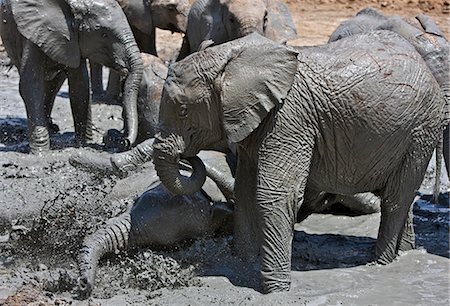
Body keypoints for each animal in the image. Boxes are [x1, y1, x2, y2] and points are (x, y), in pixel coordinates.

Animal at [0, 0, 143, 153]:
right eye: (104, 35)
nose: (124, 140)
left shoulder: (73, 41)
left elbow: (80, 85)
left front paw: (81, 145)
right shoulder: (35, 32)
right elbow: (31, 85)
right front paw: (40, 152)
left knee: (55, 84)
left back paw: (53, 129)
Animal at [149, 32, 444, 292]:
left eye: (183, 111)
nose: (187, 157)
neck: (232, 58)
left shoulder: (289, 117)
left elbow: (273, 194)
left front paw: (275, 290)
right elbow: (245, 192)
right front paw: (243, 263)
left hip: (421, 129)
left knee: (395, 198)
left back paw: (380, 264)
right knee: (402, 194)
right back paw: (404, 255)